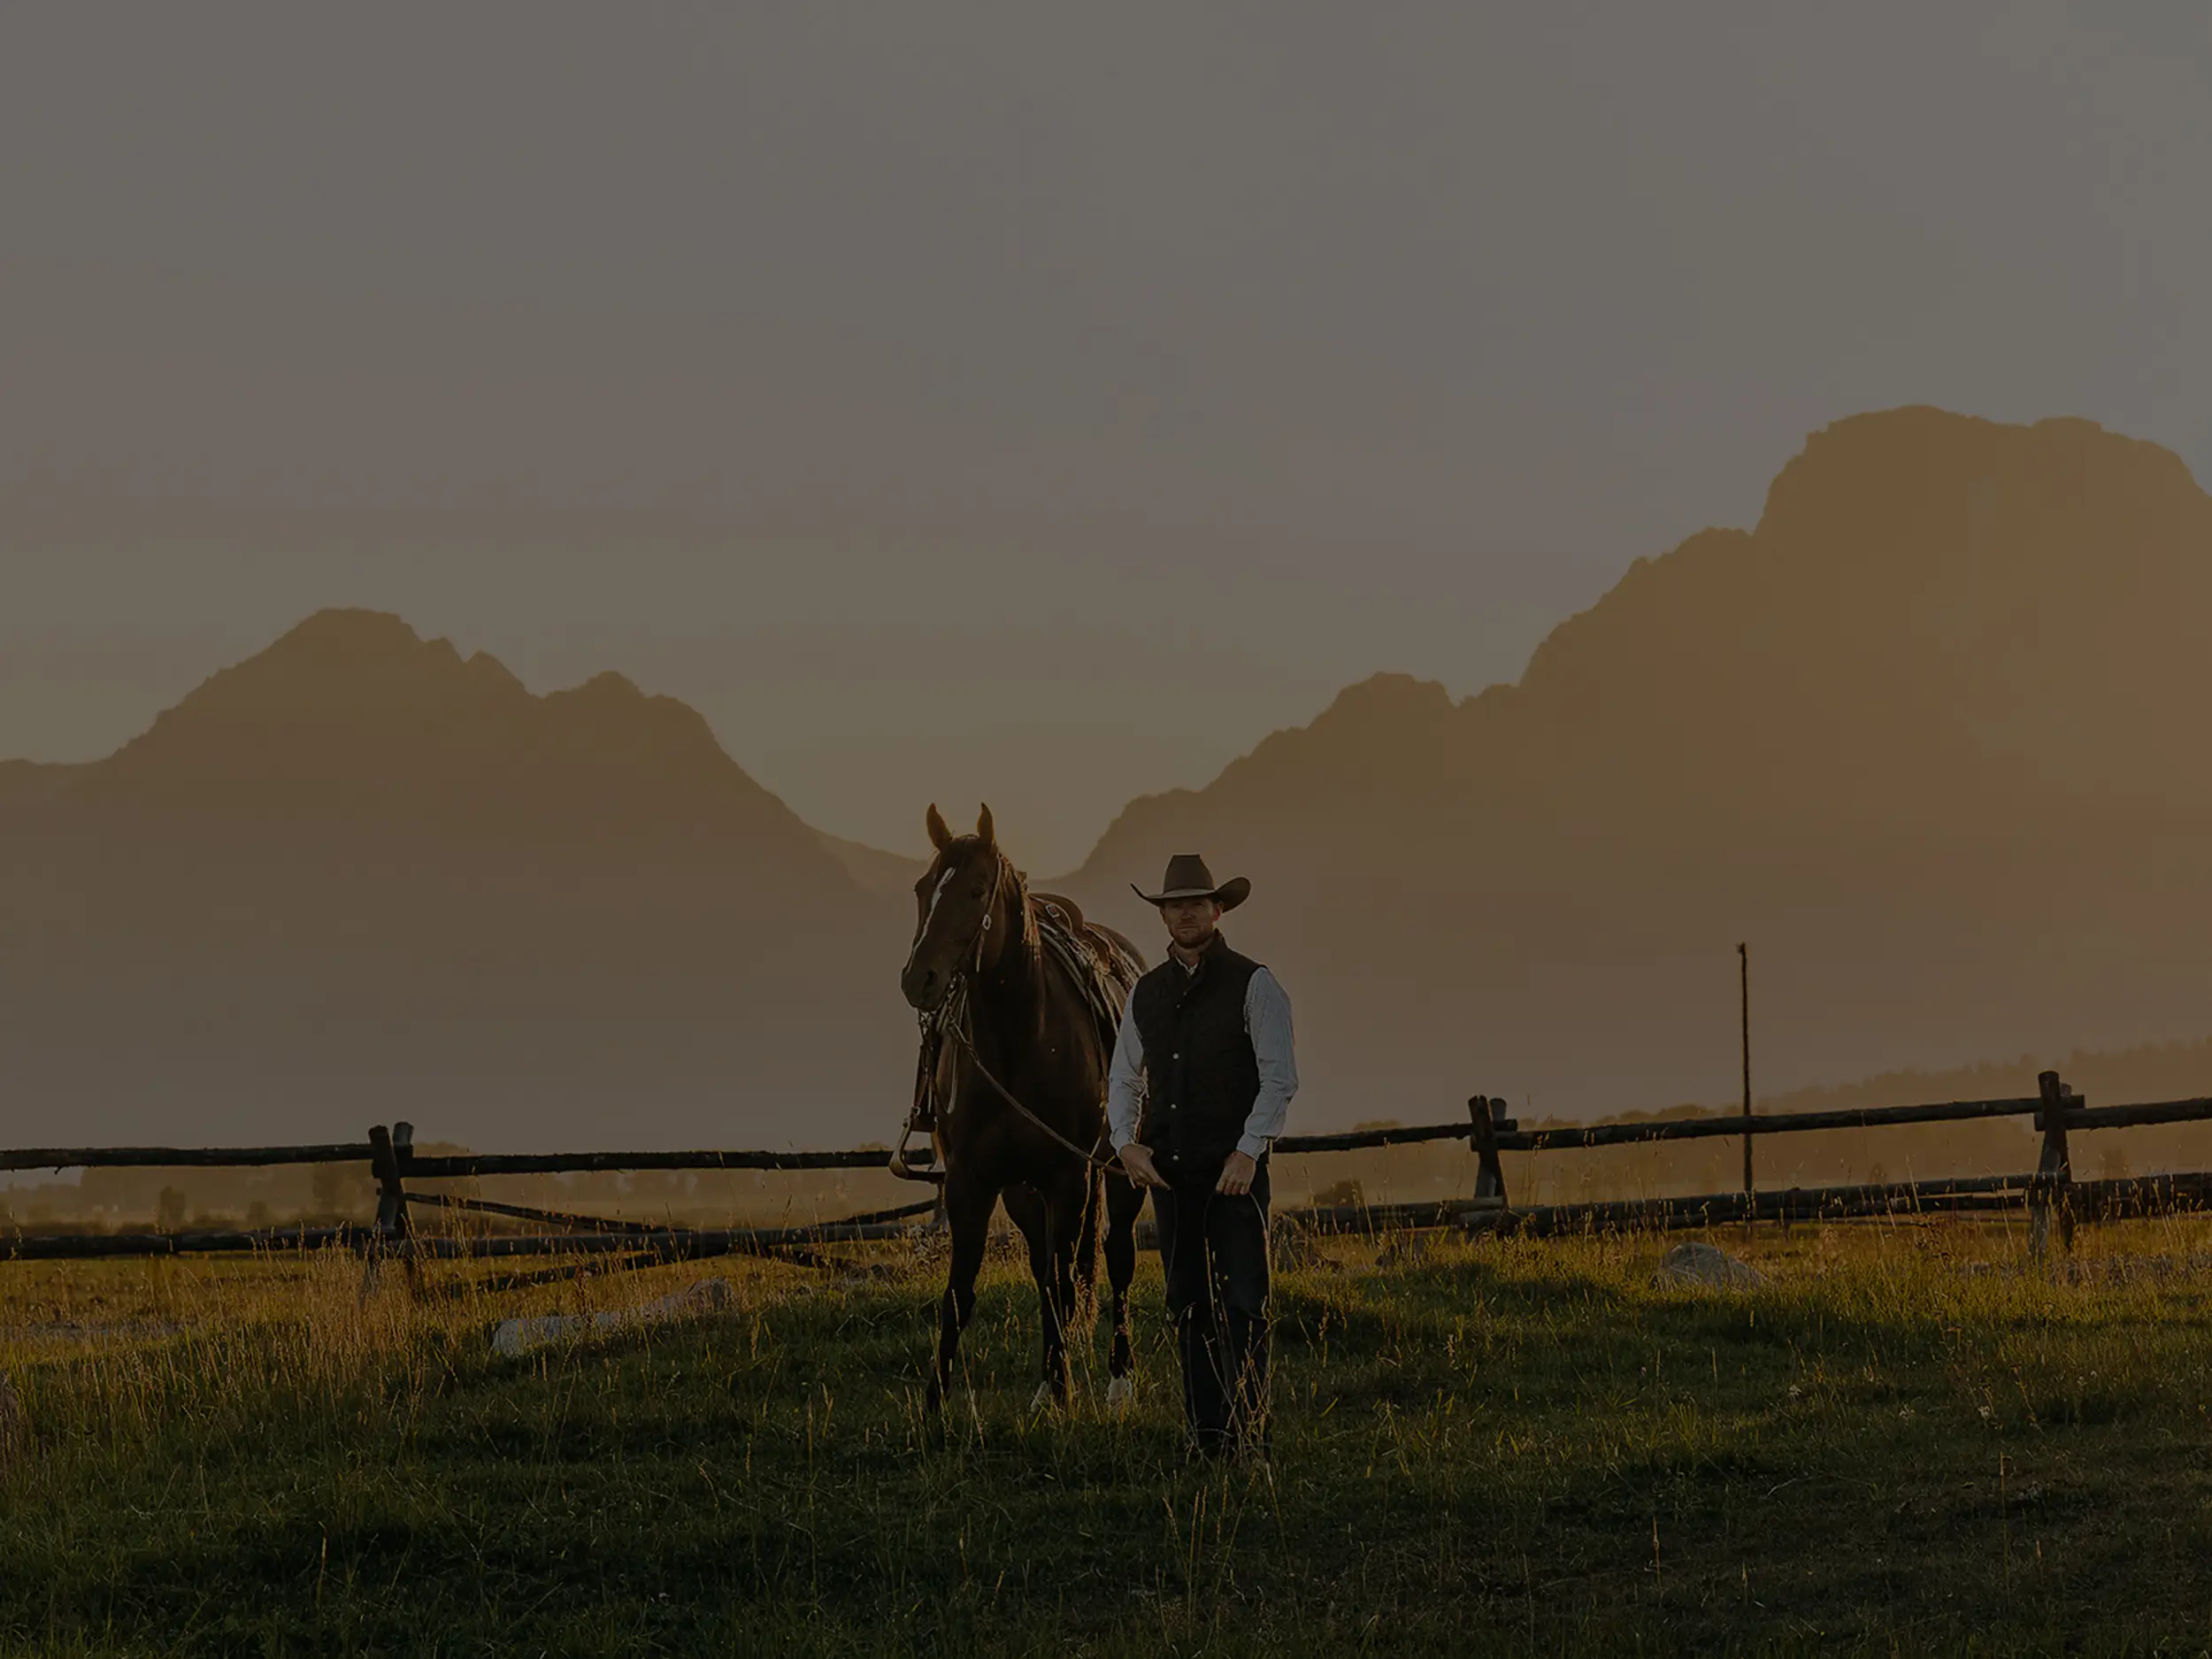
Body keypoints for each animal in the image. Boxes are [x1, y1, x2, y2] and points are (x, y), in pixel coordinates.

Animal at [899, 802, 1148, 1411]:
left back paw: (1118, 1381)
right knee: (1045, 1267)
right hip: (1021, 1189)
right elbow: (963, 1290)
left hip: (1119, 1172)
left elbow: (1068, 1274)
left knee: (1118, 1256)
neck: (1020, 1040)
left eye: (975, 890)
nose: (919, 980)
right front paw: (936, 1403)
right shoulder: (973, 1179)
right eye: (922, 888)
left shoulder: (1069, 1174)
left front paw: (1062, 1388)